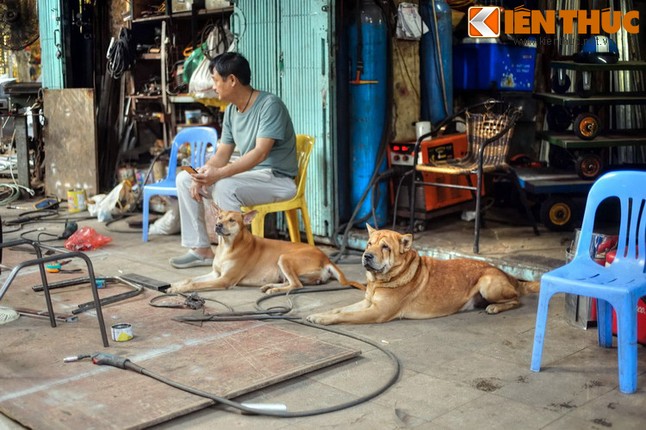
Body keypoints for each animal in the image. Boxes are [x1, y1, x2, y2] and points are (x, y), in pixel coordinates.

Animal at [170, 205, 368, 296]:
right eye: (219, 217)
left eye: (232, 220)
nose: (217, 225)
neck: (227, 247)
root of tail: (325, 257)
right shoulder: (215, 274)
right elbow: (190, 279)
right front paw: (175, 285)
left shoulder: (224, 280)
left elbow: (195, 284)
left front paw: (179, 289)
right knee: (293, 282)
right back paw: (270, 286)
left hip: (284, 257)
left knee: (297, 285)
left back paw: (273, 290)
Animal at [306, 227, 540, 324]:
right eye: (369, 243)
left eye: (385, 247)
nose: (366, 256)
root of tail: (510, 276)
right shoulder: (367, 303)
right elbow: (339, 309)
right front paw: (320, 314)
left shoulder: (377, 312)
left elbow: (344, 315)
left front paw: (325, 319)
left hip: (488, 283)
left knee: (517, 299)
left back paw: (495, 307)